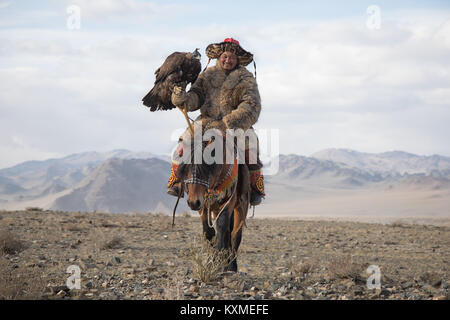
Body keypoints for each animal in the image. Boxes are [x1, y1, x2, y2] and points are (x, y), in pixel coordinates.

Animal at [177, 121, 250, 272]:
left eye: (208, 167)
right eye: (186, 167)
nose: (193, 202)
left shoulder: (228, 202)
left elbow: (222, 228)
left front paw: (220, 264)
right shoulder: (203, 205)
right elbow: (209, 231)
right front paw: (213, 260)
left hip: (241, 206)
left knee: (235, 234)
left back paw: (232, 265)